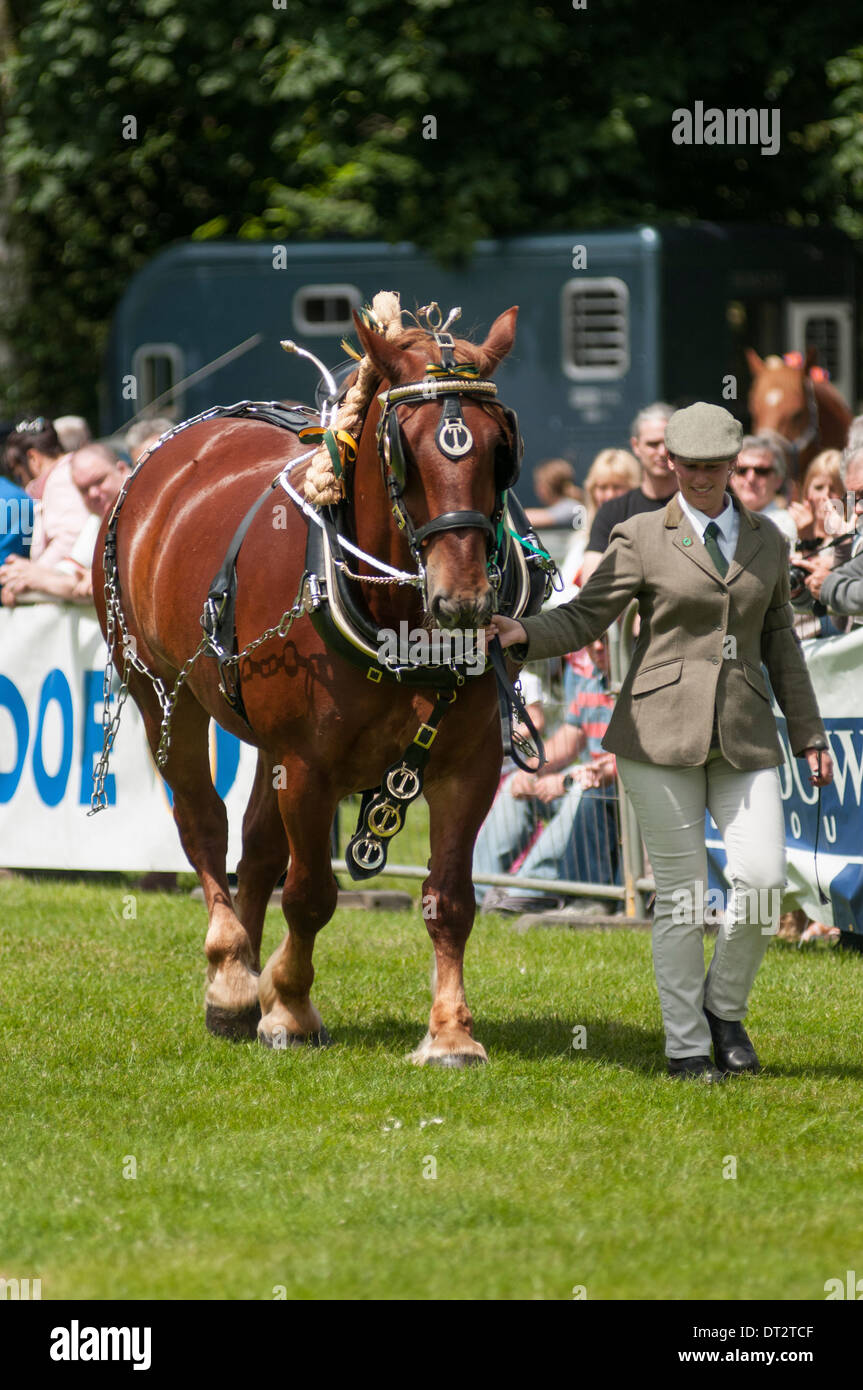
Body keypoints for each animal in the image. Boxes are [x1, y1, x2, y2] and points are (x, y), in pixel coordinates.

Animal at [92, 299, 544, 1066]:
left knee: (255, 847)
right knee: (204, 825)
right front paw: (291, 1010)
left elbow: (450, 897)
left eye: (497, 446)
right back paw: (230, 978)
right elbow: (308, 894)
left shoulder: (471, 765)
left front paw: (450, 1031)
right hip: (160, 692)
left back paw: (246, 972)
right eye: (405, 448)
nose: (463, 601)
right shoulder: (307, 766)